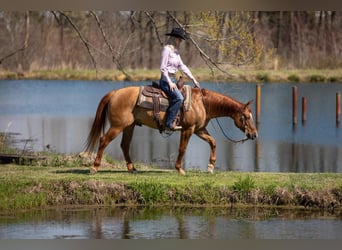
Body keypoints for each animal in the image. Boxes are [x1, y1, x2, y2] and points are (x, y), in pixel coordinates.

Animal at [85, 85, 256, 175]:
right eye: (247, 117)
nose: (254, 134)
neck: (202, 103)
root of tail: (114, 93)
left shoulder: (199, 130)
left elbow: (213, 142)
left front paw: (211, 166)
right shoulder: (188, 129)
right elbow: (182, 148)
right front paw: (179, 169)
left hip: (129, 126)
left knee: (125, 145)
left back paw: (132, 169)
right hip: (117, 126)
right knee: (104, 141)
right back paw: (94, 167)